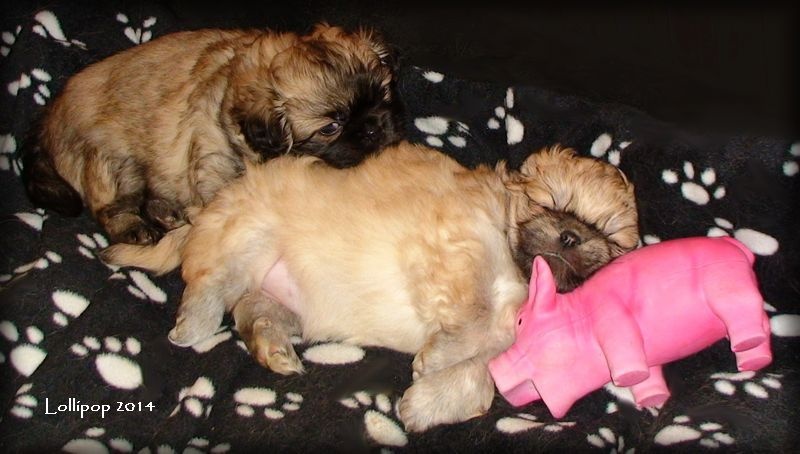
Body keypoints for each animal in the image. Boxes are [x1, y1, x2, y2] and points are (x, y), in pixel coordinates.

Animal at [21, 23, 402, 245]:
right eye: (330, 127)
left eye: (383, 95)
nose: (374, 126)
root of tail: (51, 114)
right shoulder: (214, 163)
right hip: (116, 164)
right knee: (110, 206)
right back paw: (134, 228)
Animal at [101, 142, 639, 431]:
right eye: (552, 204)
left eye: (605, 236)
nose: (571, 236)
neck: (520, 276)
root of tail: (205, 213)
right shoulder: (457, 246)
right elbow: (472, 314)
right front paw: (436, 361)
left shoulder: (512, 346)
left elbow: (481, 376)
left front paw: (427, 402)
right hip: (246, 239)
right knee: (210, 285)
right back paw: (193, 325)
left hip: (280, 296)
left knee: (253, 311)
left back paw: (273, 347)